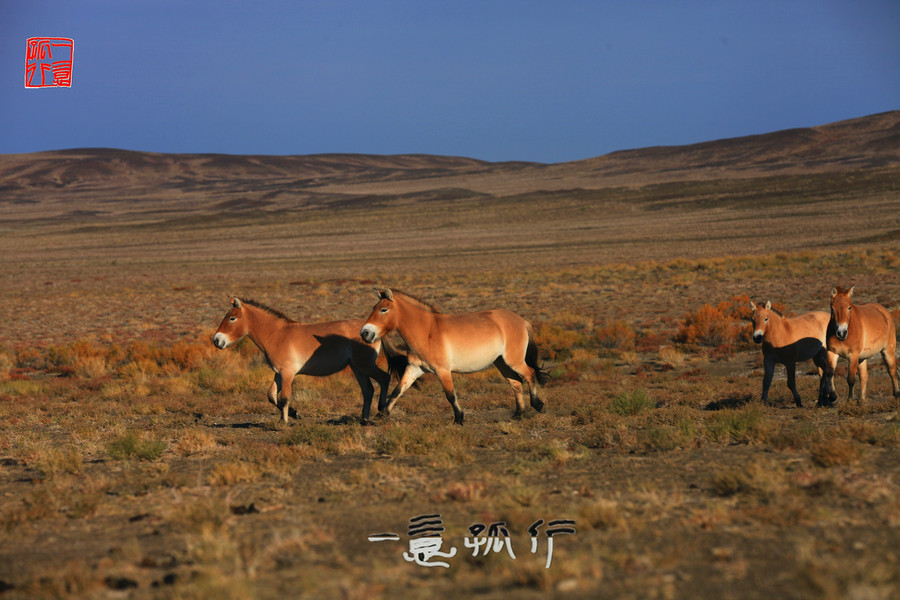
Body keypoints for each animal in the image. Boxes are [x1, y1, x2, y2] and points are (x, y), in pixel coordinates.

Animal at [213, 298, 402, 424]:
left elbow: (284, 397)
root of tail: (370, 330)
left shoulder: (287, 374)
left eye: (232, 318)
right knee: (368, 390)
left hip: (365, 365)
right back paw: (364, 419)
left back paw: (382, 411)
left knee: (384, 378)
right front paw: (295, 414)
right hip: (357, 368)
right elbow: (271, 395)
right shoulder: (279, 373)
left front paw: (284, 422)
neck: (277, 335)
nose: (216, 340)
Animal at [358, 290, 548, 422]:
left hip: (513, 361)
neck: (426, 331)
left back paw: (538, 405)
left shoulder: (442, 371)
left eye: (383, 309)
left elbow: (450, 395)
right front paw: (381, 415)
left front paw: (459, 417)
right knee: (516, 383)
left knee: (530, 374)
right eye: (373, 308)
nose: (365, 333)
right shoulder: (414, 369)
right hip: (501, 362)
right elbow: (398, 390)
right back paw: (518, 414)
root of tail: (522, 321)